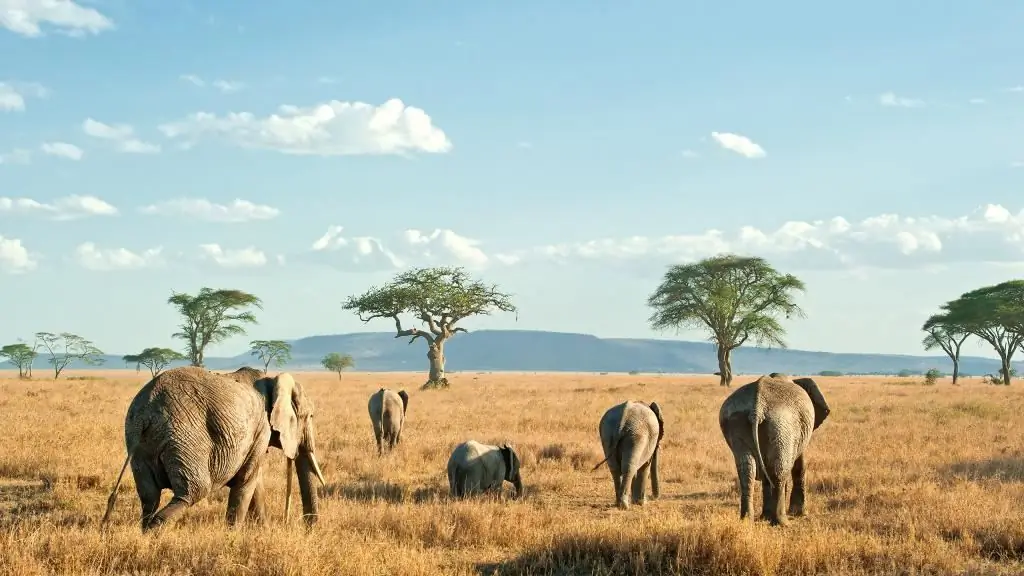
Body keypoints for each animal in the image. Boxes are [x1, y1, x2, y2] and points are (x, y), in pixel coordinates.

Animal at [98, 364, 325, 532]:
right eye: (310, 416)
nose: (308, 529)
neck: (272, 381)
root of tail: (146, 411)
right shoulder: (261, 429)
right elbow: (246, 482)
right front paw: (232, 536)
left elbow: (254, 482)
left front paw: (263, 532)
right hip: (186, 437)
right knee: (193, 490)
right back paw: (155, 533)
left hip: (139, 444)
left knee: (149, 495)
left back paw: (145, 533)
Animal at [720, 373, 831, 524]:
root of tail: (757, 408)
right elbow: (799, 465)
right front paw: (800, 514)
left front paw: (765, 517)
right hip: (781, 424)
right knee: (779, 470)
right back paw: (781, 522)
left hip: (737, 421)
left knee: (747, 469)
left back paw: (746, 521)